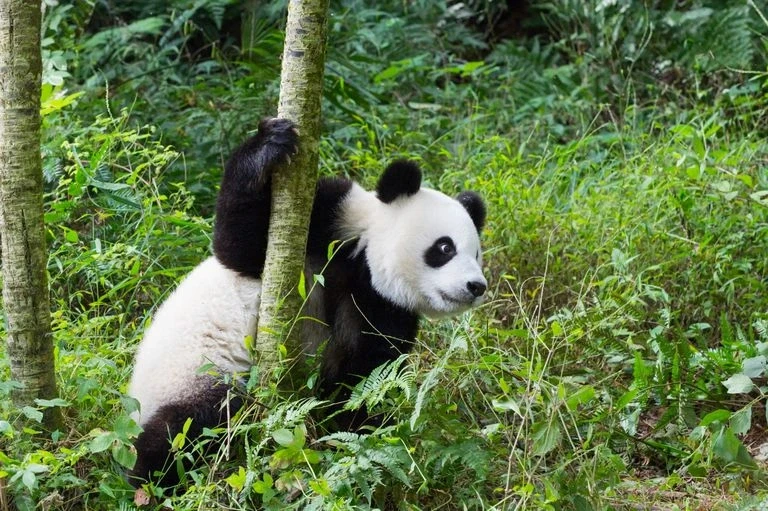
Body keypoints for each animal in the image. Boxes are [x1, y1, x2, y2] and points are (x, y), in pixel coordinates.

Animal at [127, 118, 487, 486]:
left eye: (475, 254)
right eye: (445, 248)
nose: (476, 286)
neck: (364, 263)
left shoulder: (382, 307)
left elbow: (361, 377)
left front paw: (356, 435)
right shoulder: (331, 219)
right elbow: (240, 249)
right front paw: (269, 144)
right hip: (196, 373)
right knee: (192, 425)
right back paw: (149, 479)